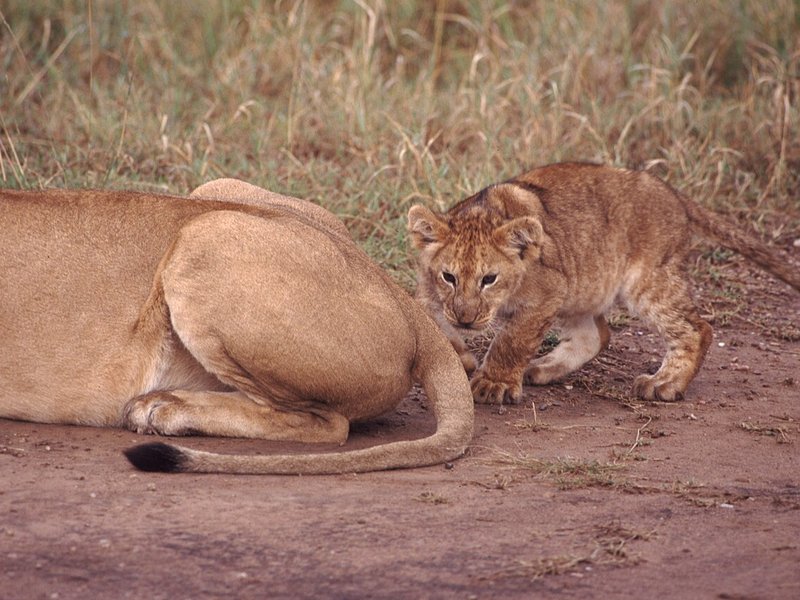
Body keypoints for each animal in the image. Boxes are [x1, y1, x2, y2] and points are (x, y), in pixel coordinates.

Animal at [408, 162, 800, 405]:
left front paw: (494, 383)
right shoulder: (429, 294)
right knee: (597, 335)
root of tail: (672, 194)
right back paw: (542, 368)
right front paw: (462, 356)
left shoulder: (547, 292)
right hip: (581, 287)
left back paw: (664, 384)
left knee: (696, 329)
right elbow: (430, 321)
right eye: (449, 277)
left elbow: (511, 340)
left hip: (647, 280)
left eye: (489, 279)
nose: (466, 319)